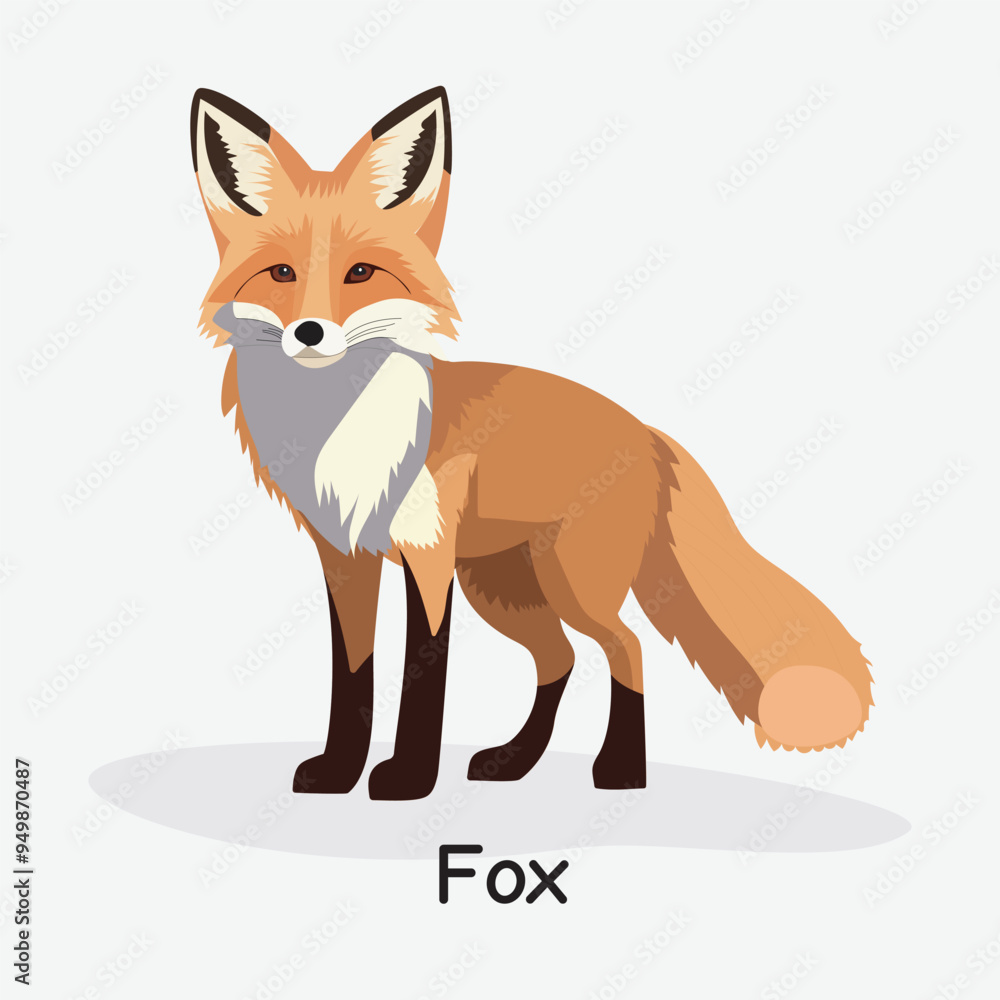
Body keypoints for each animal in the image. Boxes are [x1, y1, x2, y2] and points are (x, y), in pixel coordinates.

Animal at [191, 86, 873, 801]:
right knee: (560, 657)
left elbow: (424, 670)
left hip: (568, 582)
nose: (311, 333)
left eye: (360, 273)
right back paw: (515, 762)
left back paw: (621, 771)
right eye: (281, 273)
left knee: (625, 647)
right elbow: (351, 673)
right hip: (504, 587)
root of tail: (646, 431)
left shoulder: (428, 557)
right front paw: (338, 772)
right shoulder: (345, 556)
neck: (342, 427)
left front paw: (409, 778)